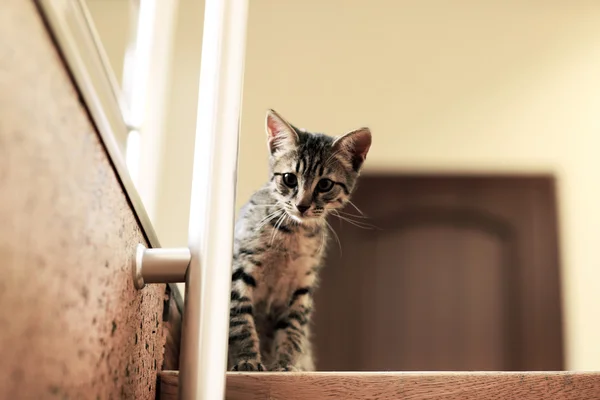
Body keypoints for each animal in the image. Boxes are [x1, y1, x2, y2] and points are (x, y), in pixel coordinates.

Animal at [229, 109, 372, 372]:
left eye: (325, 184)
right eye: (289, 178)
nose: (302, 205)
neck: (291, 235)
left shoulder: (302, 287)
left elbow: (293, 331)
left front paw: (286, 365)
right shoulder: (239, 271)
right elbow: (241, 322)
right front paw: (247, 361)